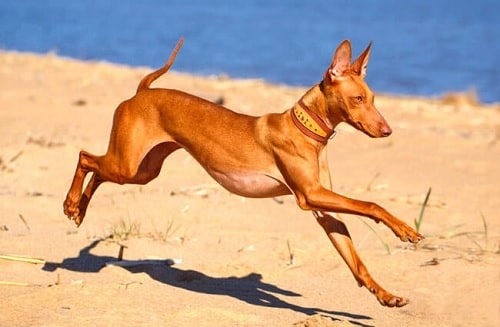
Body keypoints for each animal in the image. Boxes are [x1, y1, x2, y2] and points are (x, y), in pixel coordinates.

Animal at [62, 38, 422, 308]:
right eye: (358, 98)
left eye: (373, 98)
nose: (388, 130)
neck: (304, 129)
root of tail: (142, 92)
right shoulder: (310, 195)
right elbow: (372, 205)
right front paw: (405, 229)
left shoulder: (323, 208)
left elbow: (355, 260)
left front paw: (385, 295)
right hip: (126, 164)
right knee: (85, 158)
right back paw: (70, 204)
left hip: (141, 170)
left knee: (96, 169)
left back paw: (80, 210)